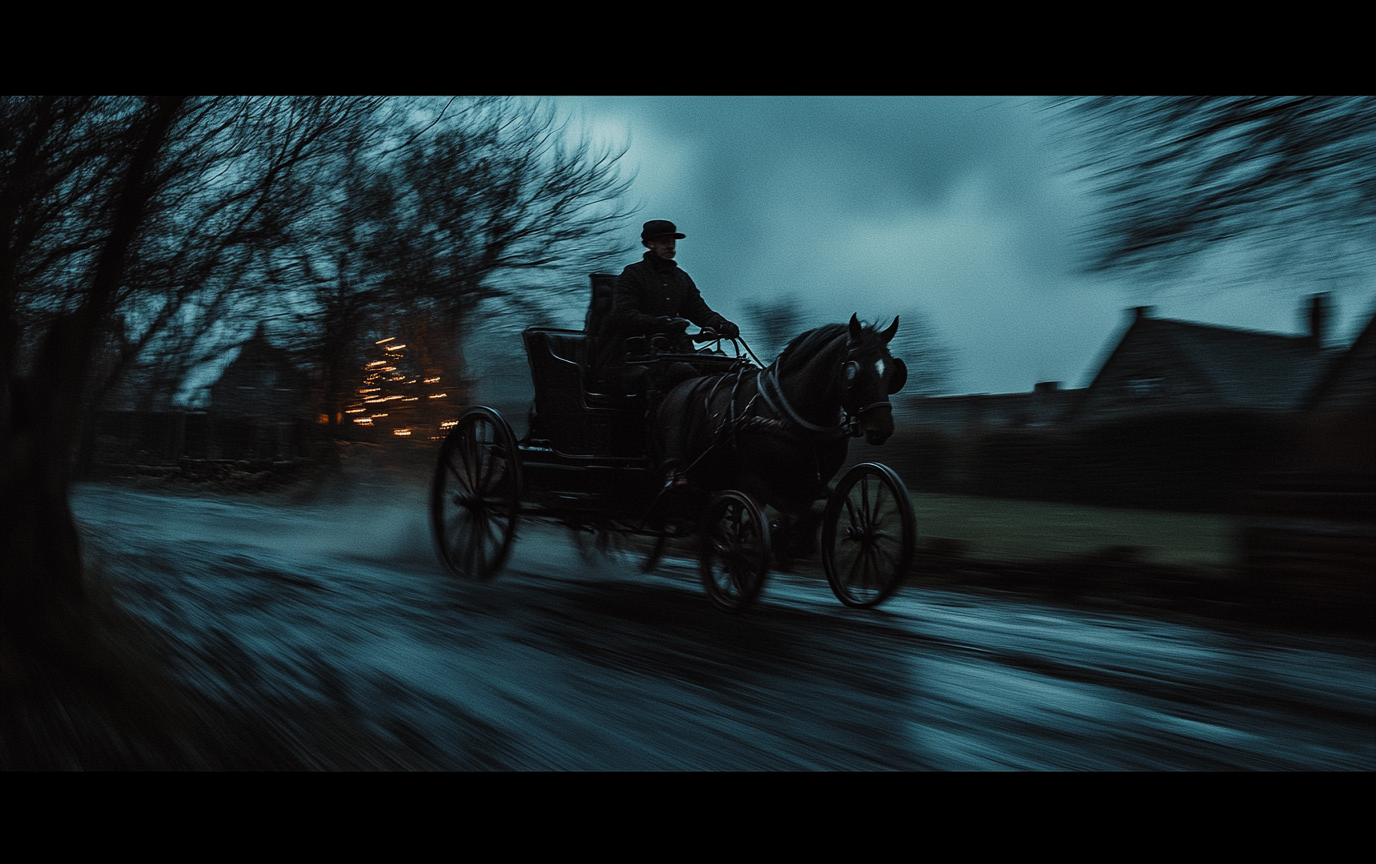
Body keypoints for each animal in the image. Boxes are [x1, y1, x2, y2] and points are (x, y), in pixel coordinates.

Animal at [652, 315, 908, 553]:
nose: (882, 429)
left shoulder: (811, 486)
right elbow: (793, 517)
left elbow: (817, 511)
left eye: (891, 371)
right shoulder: (754, 483)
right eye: (853, 371)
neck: (792, 415)